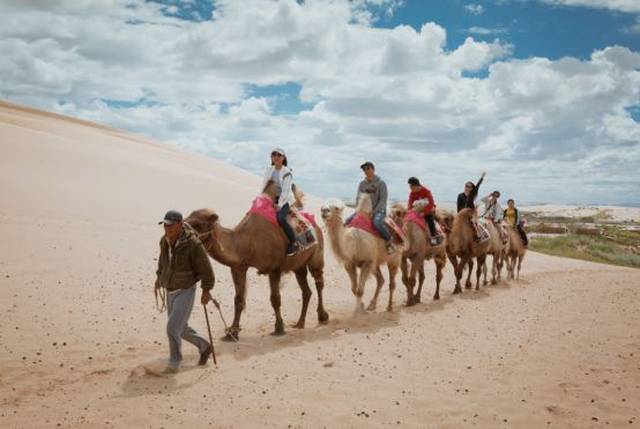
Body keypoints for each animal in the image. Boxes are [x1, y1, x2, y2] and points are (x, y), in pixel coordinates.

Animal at [184, 179, 324, 340]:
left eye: (198, 224)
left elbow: (275, 299)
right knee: (306, 291)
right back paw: (300, 323)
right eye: (186, 217)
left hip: (316, 256)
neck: (246, 242)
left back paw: (323, 317)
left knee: (319, 282)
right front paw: (232, 332)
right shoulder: (238, 267)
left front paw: (279, 328)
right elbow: (238, 299)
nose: (180, 230)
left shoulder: (274, 269)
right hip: (298, 266)